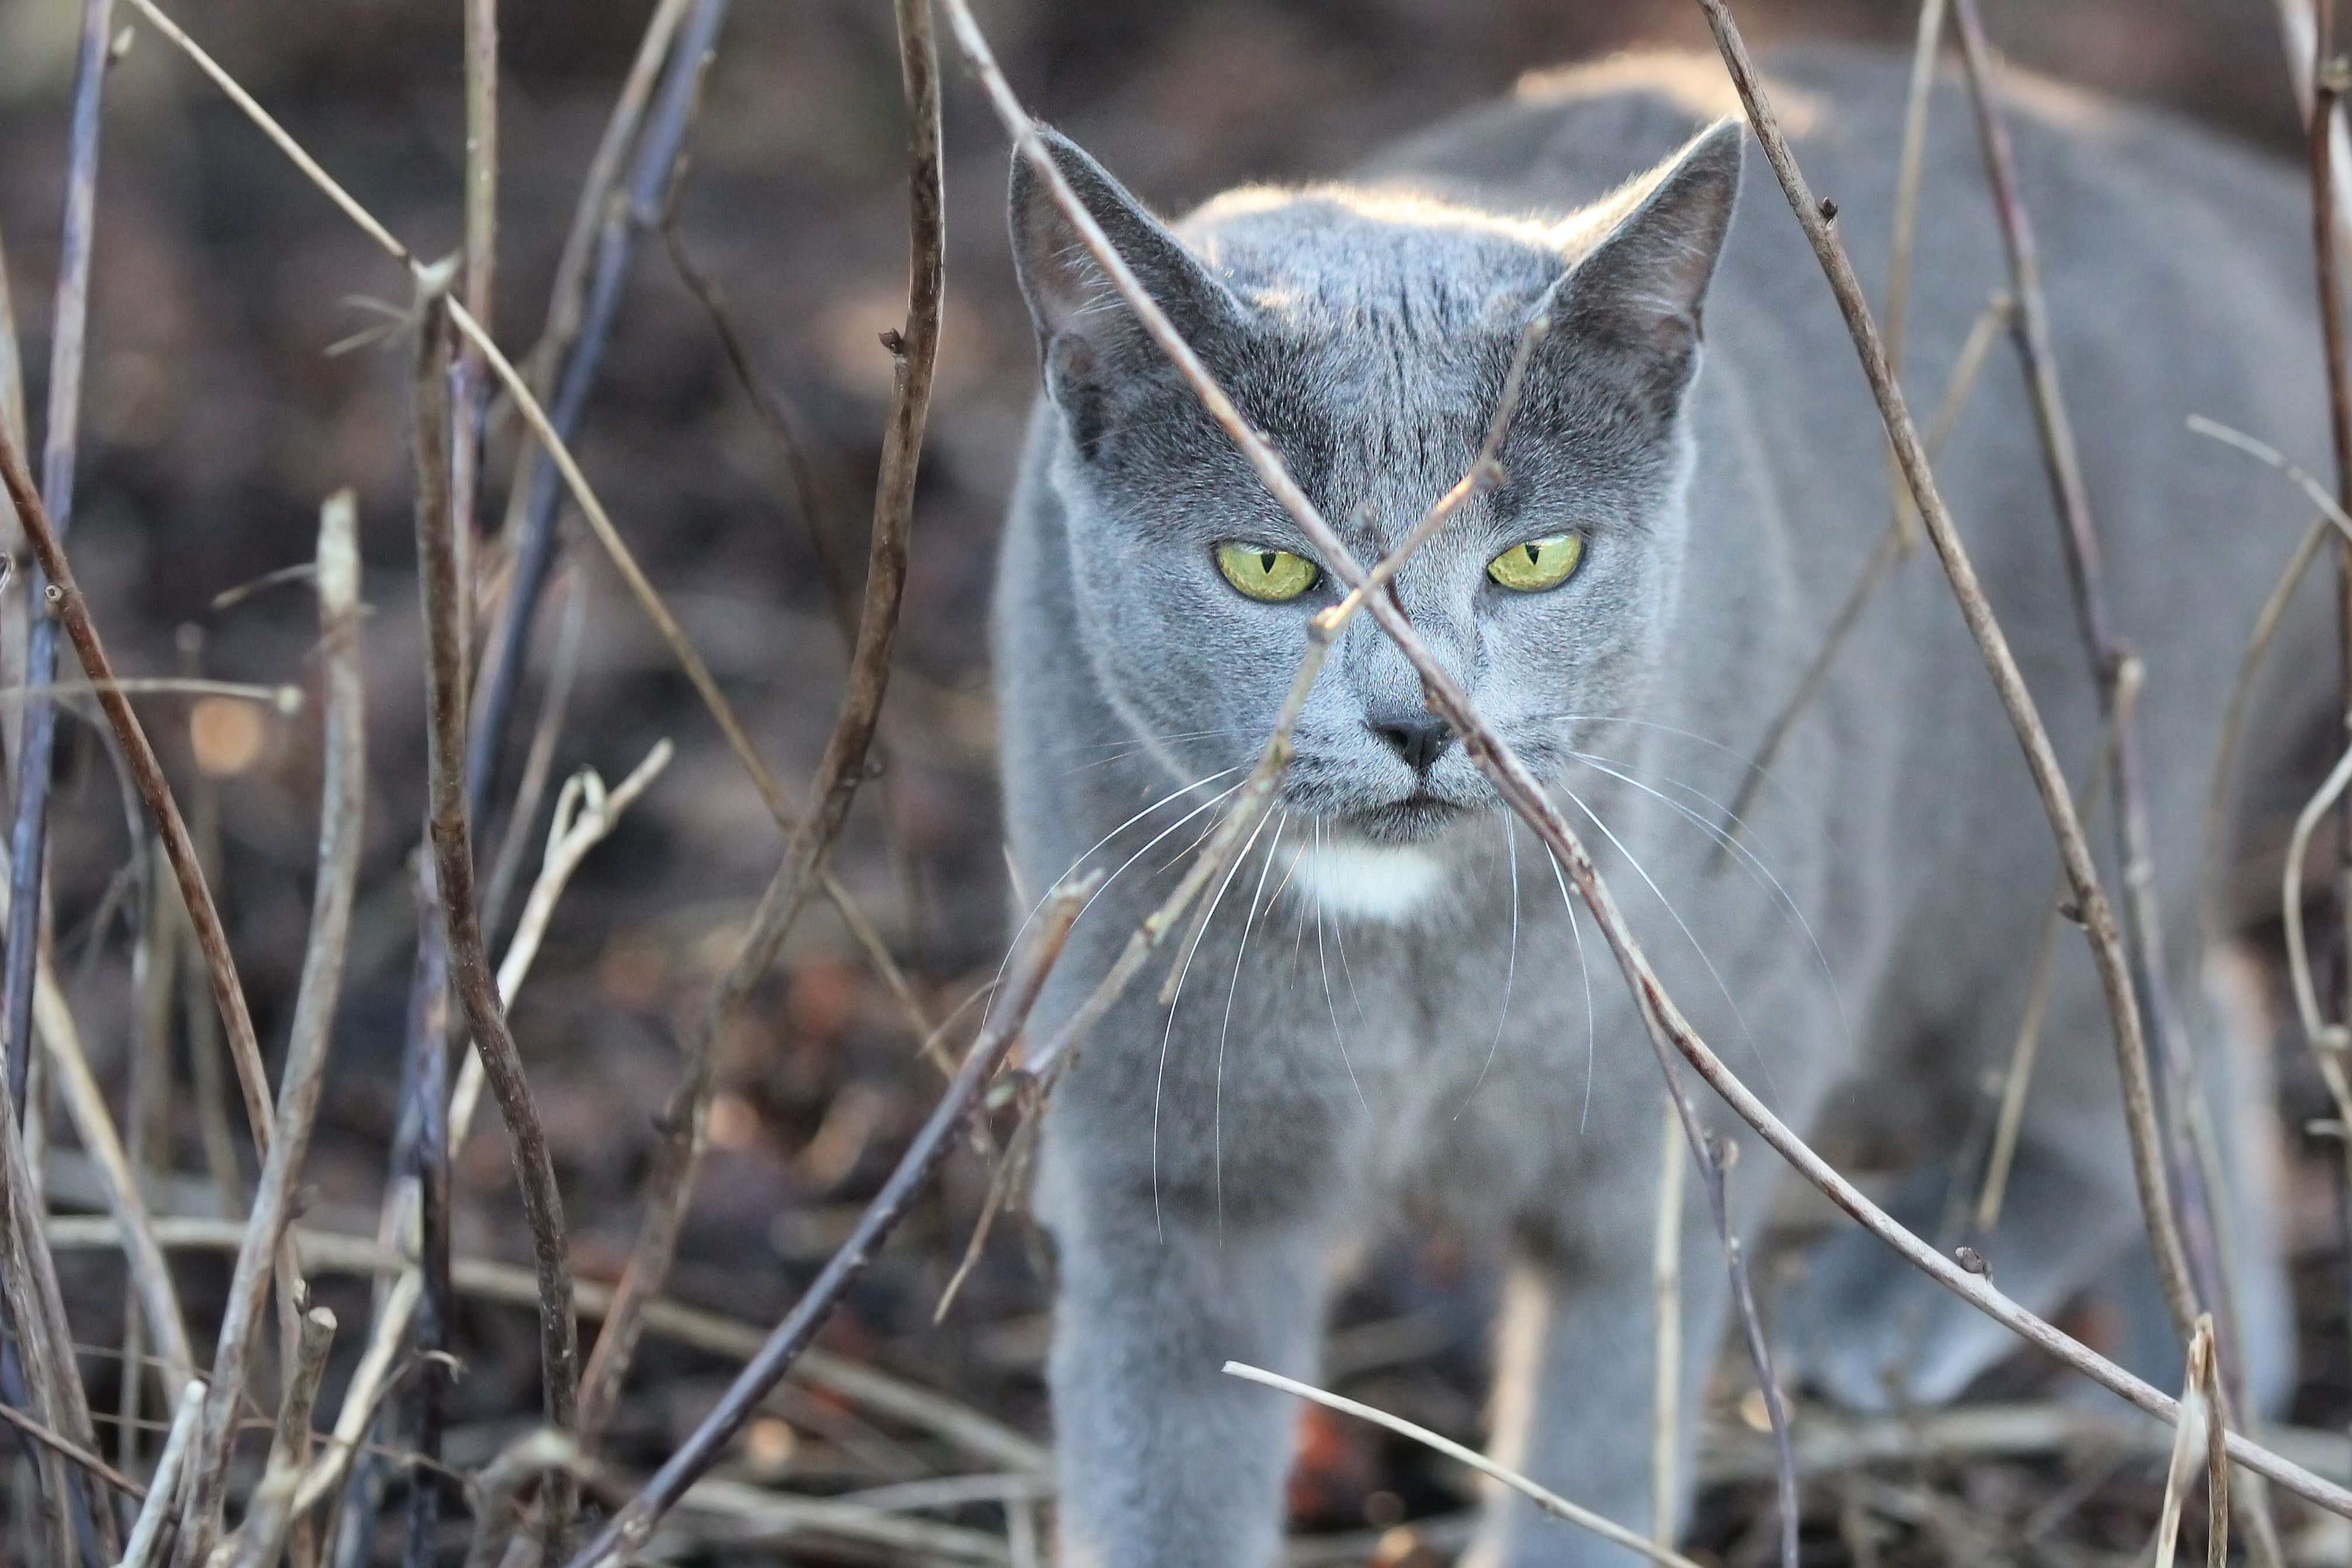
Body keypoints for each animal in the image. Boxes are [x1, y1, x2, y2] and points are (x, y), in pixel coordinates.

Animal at [987, 43, 2314, 1568]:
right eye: (1267, 566)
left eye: (1536, 557)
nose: (1421, 720)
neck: (1406, 961)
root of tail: (2179, 174)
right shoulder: (1164, 1183)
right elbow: (1164, 1478)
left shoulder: (1667, 1165)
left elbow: (1597, 1446)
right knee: (2204, 1016)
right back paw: (2197, 1402)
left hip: (2040, 812)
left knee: (2125, 1046)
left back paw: (1931, 1323)